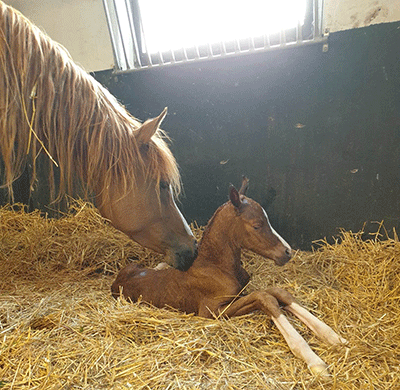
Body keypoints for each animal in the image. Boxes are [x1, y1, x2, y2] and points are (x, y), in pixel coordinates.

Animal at [112, 177, 346, 374]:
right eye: (257, 225)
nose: (287, 252)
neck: (217, 266)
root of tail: (117, 281)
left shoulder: (240, 293)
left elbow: (277, 292)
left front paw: (332, 336)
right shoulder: (211, 312)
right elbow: (265, 297)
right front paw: (313, 360)